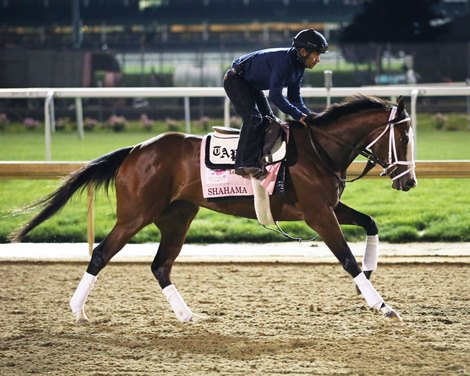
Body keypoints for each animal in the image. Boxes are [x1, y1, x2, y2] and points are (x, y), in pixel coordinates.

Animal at [10, 93, 414, 324]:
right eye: (404, 136)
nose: (408, 181)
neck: (320, 149)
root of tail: (135, 150)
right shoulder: (317, 213)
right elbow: (346, 258)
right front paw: (380, 304)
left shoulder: (329, 206)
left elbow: (370, 223)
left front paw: (370, 274)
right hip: (135, 215)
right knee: (101, 254)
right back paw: (78, 310)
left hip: (177, 217)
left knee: (160, 265)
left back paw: (187, 314)